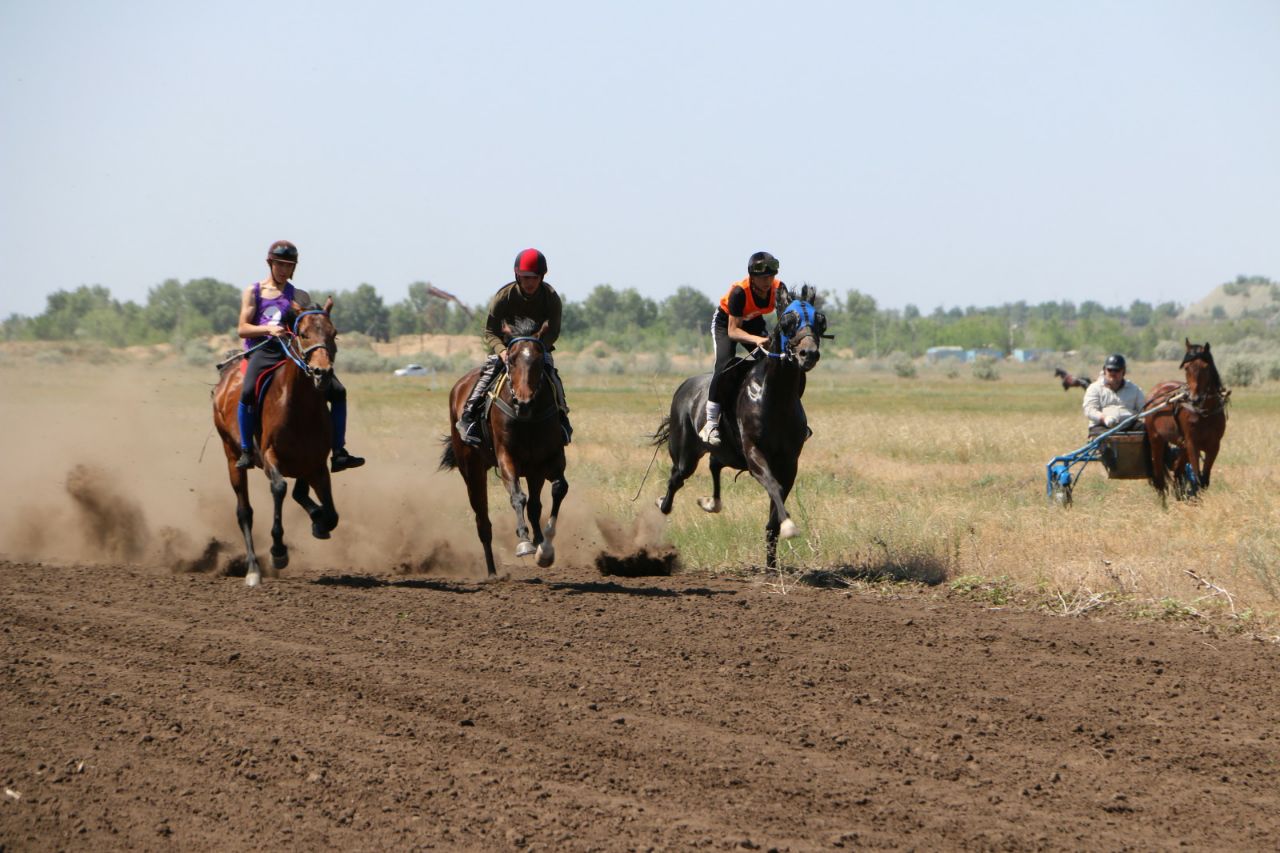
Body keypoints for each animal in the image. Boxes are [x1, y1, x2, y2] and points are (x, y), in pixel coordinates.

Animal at [211, 298, 340, 584]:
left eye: (334, 333)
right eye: (302, 334)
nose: (322, 373)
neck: (299, 407)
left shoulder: (316, 463)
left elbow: (329, 512)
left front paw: (319, 522)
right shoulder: (270, 457)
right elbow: (280, 488)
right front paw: (278, 551)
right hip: (231, 456)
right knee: (244, 512)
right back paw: (253, 569)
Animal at [437, 315, 568, 573]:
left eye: (539, 359)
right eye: (512, 359)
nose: (524, 402)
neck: (528, 419)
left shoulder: (548, 460)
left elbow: (557, 489)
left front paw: (545, 548)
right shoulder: (507, 457)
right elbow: (518, 496)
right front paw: (525, 542)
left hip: (533, 471)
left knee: (535, 506)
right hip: (472, 469)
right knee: (482, 521)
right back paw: (492, 572)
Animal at [655, 281, 824, 568]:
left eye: (820, 321)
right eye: (788, 321)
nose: (808, 354)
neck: (774, 396)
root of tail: (684, 386)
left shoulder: (790, 461)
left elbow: (774, 511)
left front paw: (771, 563)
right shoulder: (754, 452)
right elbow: (774, 486)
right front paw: (789, 526)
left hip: (724, 452)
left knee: (714, 464)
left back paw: (711, 503)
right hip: (686, 453)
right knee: (675, 479)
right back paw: (662, 505)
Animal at [1146, 338, 1223, 502]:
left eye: (1206, 367)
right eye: (1187, 367)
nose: (1195, 398)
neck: (1205, 412)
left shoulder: (1214, 445)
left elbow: (1204, 480)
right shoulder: (1192, 444)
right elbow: (1198, 478)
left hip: (1182, 446)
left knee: (1177, 470)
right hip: (1156, 440)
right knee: (1159, 476)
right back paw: (1163, 503)